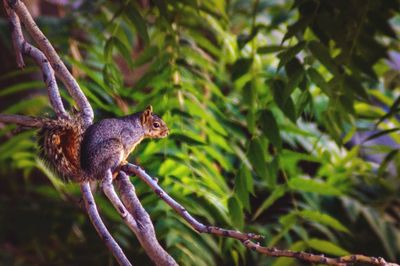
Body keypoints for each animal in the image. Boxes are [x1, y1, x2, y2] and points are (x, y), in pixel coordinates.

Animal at [35, 105, 169, 182]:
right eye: (156, 125)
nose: (167, 132)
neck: (138, 127)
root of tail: (90, 172)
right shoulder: (127, 138)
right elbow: (125, 151)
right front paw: (124, 161)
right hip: (113, 147)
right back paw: (117, 169)